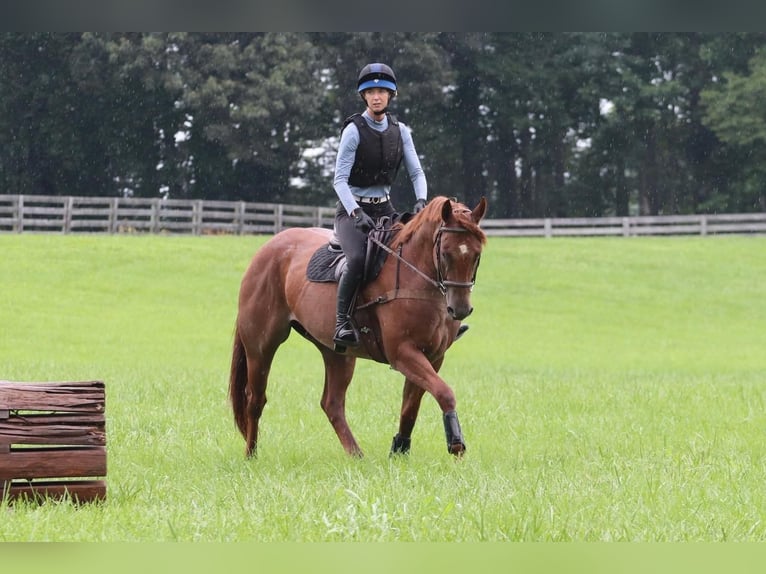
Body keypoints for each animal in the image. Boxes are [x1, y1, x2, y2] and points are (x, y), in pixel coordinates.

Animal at [231, 196, 488, 462]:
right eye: (445, 253)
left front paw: (399, 450)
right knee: (255, 399)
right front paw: (456, 444)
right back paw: (251, 455)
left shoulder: (433, 356)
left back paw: (356, 455)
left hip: (337, 353)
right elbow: (444, 392)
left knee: (332, 403)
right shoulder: (403, 354)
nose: (460, 309)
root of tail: (267, 249)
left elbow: (411, 406)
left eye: (477, 255)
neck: (414, 276)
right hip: (261, 347)